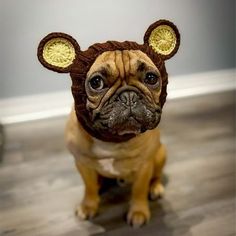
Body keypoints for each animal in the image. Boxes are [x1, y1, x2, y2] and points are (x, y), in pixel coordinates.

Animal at [37, 18, 180, 227]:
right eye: (96, 82)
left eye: (151, 78)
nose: (129, 96)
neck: (112, 140)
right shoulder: (83, 164)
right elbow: (88, 187)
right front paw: (88, 206)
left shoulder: (144, 165)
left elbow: (139, 189)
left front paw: (138, 211)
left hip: (161, 153)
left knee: (156, 175)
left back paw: (155, 188)